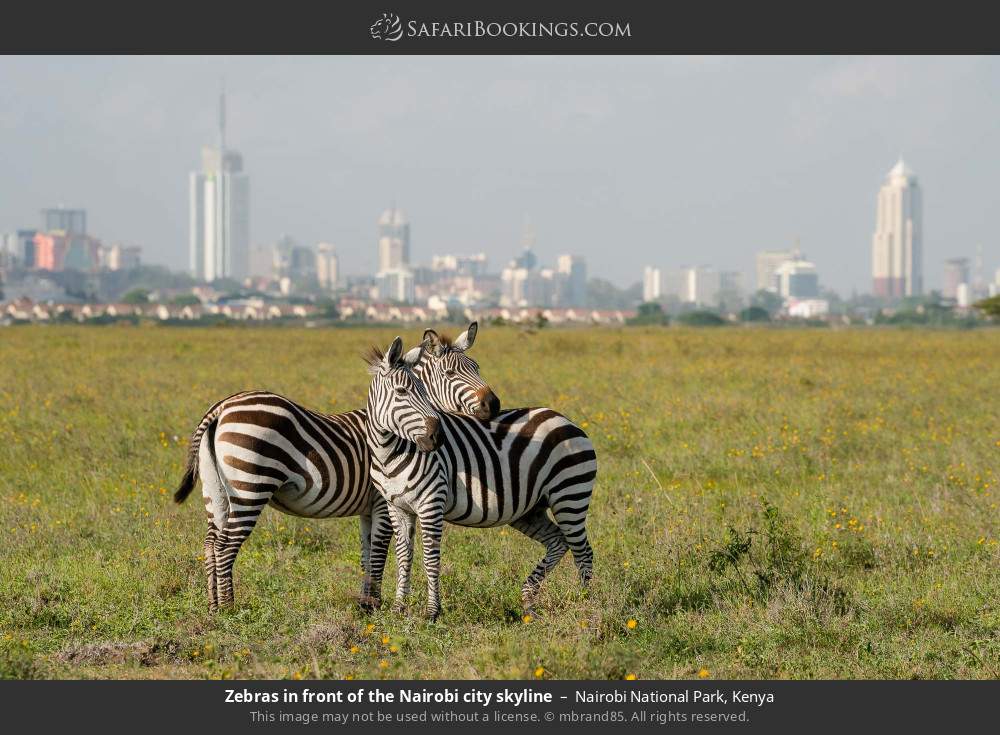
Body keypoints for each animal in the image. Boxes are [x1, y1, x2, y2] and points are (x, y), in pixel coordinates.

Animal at [174, 324, 498, 612]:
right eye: (451, 373)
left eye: (477, 367)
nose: (493, 405)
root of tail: (221, 407)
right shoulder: (382, 502)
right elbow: (379, 552)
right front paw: (374, 605)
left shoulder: (368, 508)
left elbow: (367, 554)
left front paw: (366, 604)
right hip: (250, 487)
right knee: (225, 545)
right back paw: (229, 608)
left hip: (215, 491)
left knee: (210, 543)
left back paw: (213, 606)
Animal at [366, 340, 592, 620]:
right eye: (401, 391)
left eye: (423, 391)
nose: (437, 437)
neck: (389, 453)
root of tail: (566, 419)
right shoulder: (397, 507)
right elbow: (403, 556)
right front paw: (399, 609)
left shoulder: (431, 504)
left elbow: (430, 558)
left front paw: (432, 612)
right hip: (530, 510)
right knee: (558, 541)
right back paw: (529, 600)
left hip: (570, 495)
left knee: (583, 551)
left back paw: (585, 604)